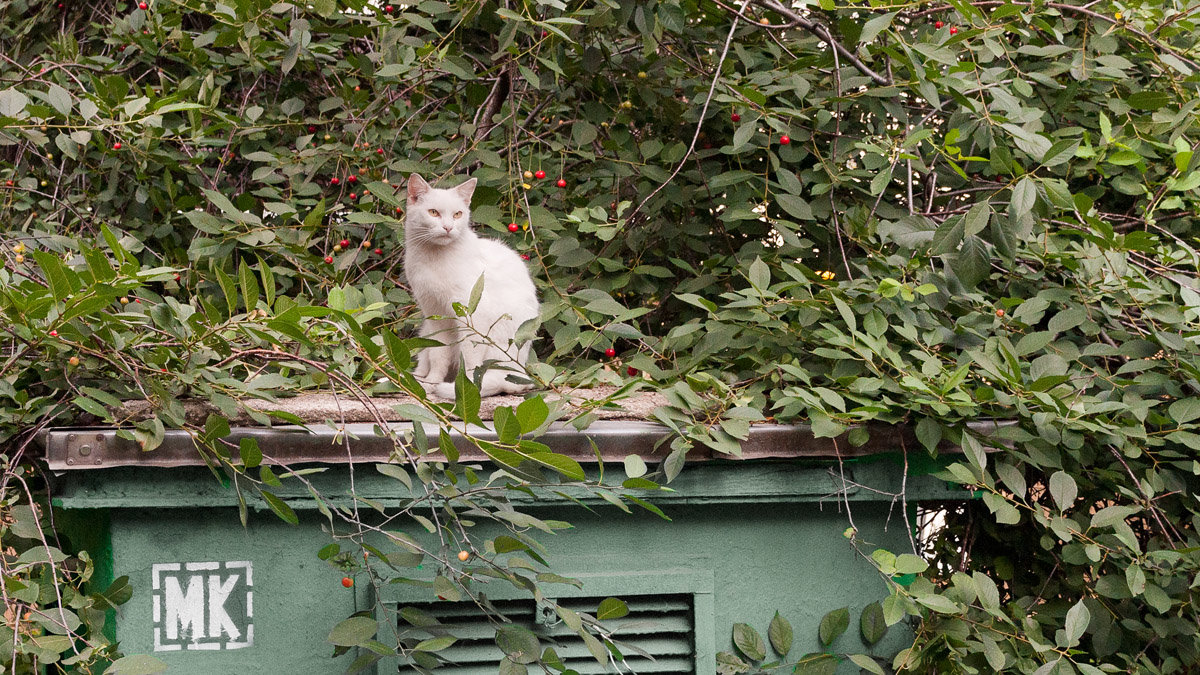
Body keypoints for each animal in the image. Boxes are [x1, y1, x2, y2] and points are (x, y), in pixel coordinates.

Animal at [403, 170, 540, 396]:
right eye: (433, 212)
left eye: (458, 214)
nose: (448, 227)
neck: (434, 259)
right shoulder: (436, 315)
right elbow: (439, 354)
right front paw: (432, 382)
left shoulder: (474, 316)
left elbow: (470, 360)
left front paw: (467, 386)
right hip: (426, 330)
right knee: (427, 357)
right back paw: (420, 379)